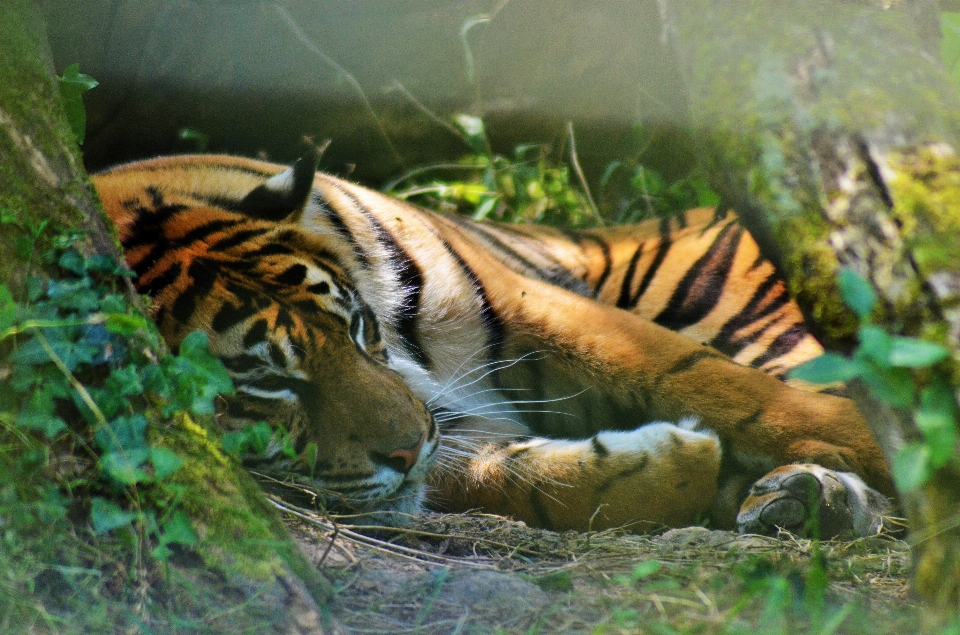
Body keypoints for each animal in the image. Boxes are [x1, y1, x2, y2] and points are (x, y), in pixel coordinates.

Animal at [94, 152, 896, 540]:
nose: (410, 444)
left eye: (357, 328)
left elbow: (706, 379)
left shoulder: (524, 303)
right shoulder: (439, 435)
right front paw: (671, 467)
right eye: (267, 384)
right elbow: (516, 479)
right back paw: (803, 500)